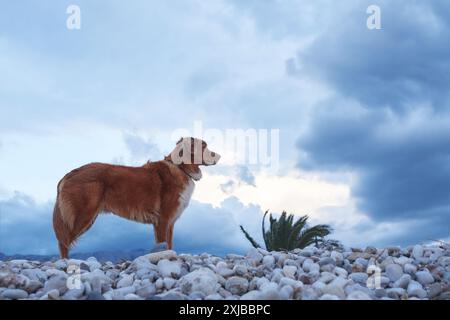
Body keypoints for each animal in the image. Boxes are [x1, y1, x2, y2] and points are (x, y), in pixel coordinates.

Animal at [52, 137, 220, 258]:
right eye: (204, 146)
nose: (219, 155)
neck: (180, 167)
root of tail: (69, 174)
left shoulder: (170, 222)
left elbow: (170, 244)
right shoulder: (163, 219)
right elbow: (163, 244)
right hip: (82, 215)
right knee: (64, 241)